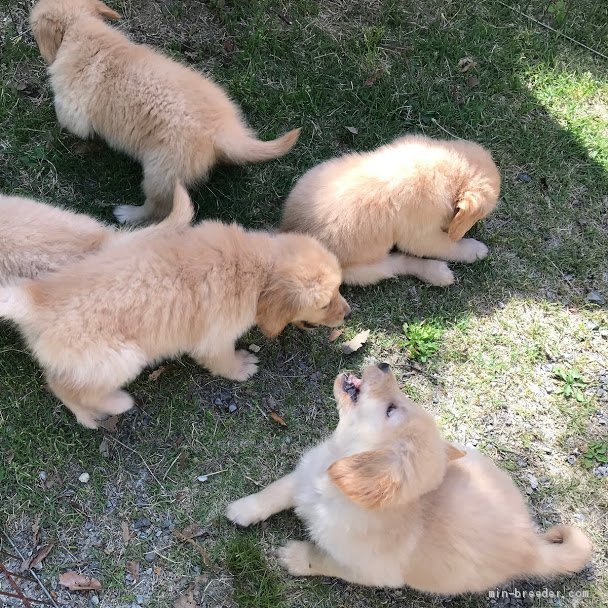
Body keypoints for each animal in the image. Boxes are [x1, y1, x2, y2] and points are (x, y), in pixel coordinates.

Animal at [30, 0, 302, 224]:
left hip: (161, 171)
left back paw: (128, 214)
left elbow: (70, 120)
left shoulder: (73, 107)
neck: (83, 31)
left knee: (158, 208)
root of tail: (225, 132)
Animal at [226, 366, 592, 592]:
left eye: (391, 410)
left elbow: (323, 560)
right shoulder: (305, 473)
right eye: (400, 403)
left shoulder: (369, 571)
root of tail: (532, 545)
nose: (385, 364)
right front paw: (242, 509)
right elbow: (275, 491)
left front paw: (295, 557)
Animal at [282, 134, 502, 286]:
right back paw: (437, 272)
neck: (443, 169)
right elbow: (447, 245)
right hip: (361, 270)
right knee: (398, 263)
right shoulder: (421, 235)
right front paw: (472, 249)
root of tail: (289, 229)